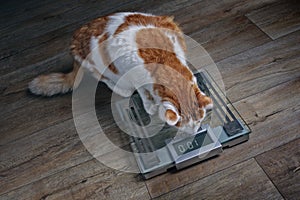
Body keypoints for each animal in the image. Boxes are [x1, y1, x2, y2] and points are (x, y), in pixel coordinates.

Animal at [27, 12, 211, 134]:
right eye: (186, 126)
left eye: (199, 121)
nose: (196, 131)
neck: (164, 59)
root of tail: (74, 42)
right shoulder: (132, 72)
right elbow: (144, 92)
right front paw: (150, 105)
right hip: (98, 67)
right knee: (109, 81)